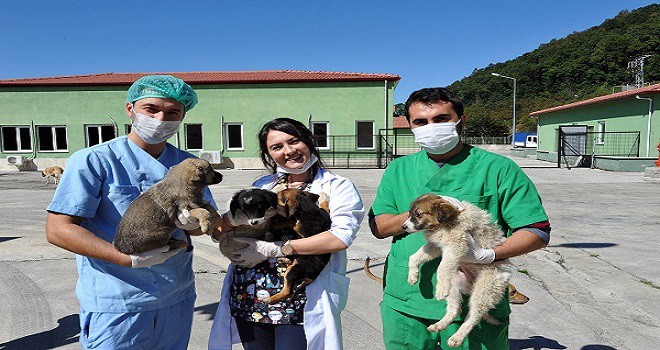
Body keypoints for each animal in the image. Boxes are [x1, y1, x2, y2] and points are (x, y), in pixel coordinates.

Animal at [402, 194, 516, 348]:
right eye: (409, 213)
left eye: (419, 214)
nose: (403, 226)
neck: (446, 223)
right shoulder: (436, 246)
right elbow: (414, 257)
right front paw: (413, 276)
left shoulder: (456, 245)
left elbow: (442, 268)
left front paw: (440, 290)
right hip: (455, 280)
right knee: (456, 309)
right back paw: (439, 325)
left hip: (485, 288)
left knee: (474, 317)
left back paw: (457, 337)